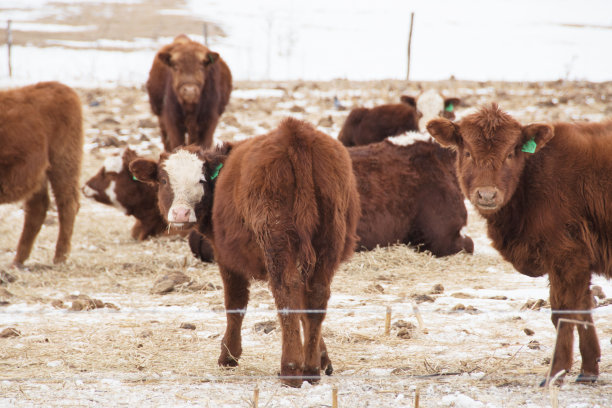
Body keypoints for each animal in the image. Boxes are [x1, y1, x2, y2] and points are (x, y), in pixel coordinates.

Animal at [0, 82, 83, 268]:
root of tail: (60, 87)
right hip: (38, 175)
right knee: (38, 207)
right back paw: (18, 259)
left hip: (64, 162)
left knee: (67, 204)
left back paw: (60, 258)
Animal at [129, 117, 358, 386]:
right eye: (164, 180)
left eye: (201, 180)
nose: (180, 214)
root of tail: (294, 133)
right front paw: (323, 358)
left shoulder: (226, 257)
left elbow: (235, 304)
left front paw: (229, 355)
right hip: (328, 241)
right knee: (316, 296)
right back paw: (311, 369)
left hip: (277, 241)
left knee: (286, 292)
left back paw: (291, 368)